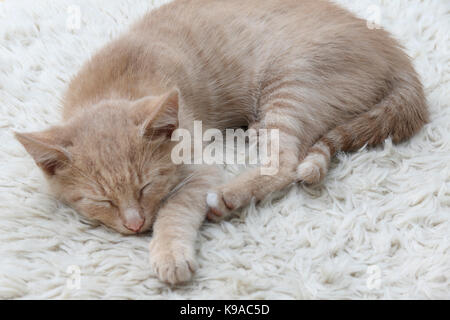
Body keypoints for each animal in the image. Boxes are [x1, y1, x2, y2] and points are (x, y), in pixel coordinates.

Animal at [15, 0, 428, 284]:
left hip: (289, 85)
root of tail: (396, 53)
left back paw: (229, 197)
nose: (135, 225)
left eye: (147, 186)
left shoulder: (200, 167)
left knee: (285, 163)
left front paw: (169, 251)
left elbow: (177, 207)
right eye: (102, 201)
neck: (111, 88)